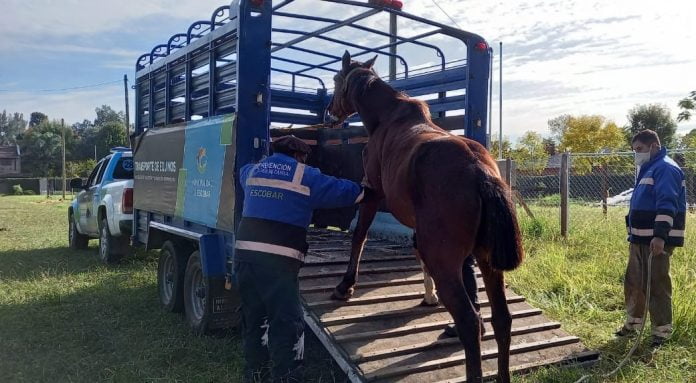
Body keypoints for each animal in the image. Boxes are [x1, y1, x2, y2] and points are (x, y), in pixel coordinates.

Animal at [328, 51, 524, 383]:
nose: (330, 113)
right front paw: (428, 296)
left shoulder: (372, 192)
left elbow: (359, 236)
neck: (387, 118)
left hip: (448, 261)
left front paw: (346, 285)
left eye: (336, 79)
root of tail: (480, 173)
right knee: (502, 319)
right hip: (487, 261)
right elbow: (415, 251)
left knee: (470, 322)